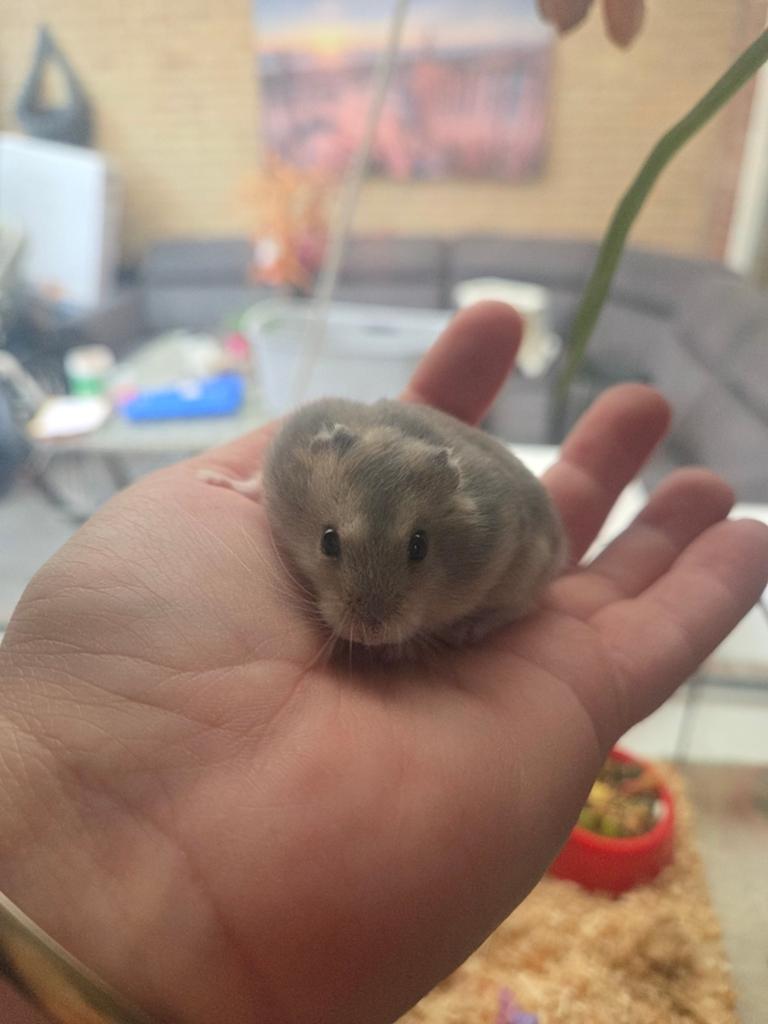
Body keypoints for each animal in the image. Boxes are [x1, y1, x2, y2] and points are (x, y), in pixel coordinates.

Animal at [201, 398, 565, 651]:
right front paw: (213, 480)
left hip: (533, 567)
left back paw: (465, 630)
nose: (370, 635)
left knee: (520, 607)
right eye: (328, 541)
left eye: (419, 547)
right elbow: (255, 482)